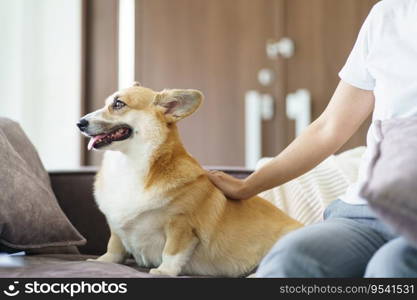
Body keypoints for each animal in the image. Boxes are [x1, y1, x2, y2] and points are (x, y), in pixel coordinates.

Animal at [76, 82, 300, 276]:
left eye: (118, 104)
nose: (79, 123)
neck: (129, 165)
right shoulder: (116, 226)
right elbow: (114, 247)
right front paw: (102, 261)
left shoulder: (181, 225)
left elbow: (171, 252)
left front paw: (163, 272)